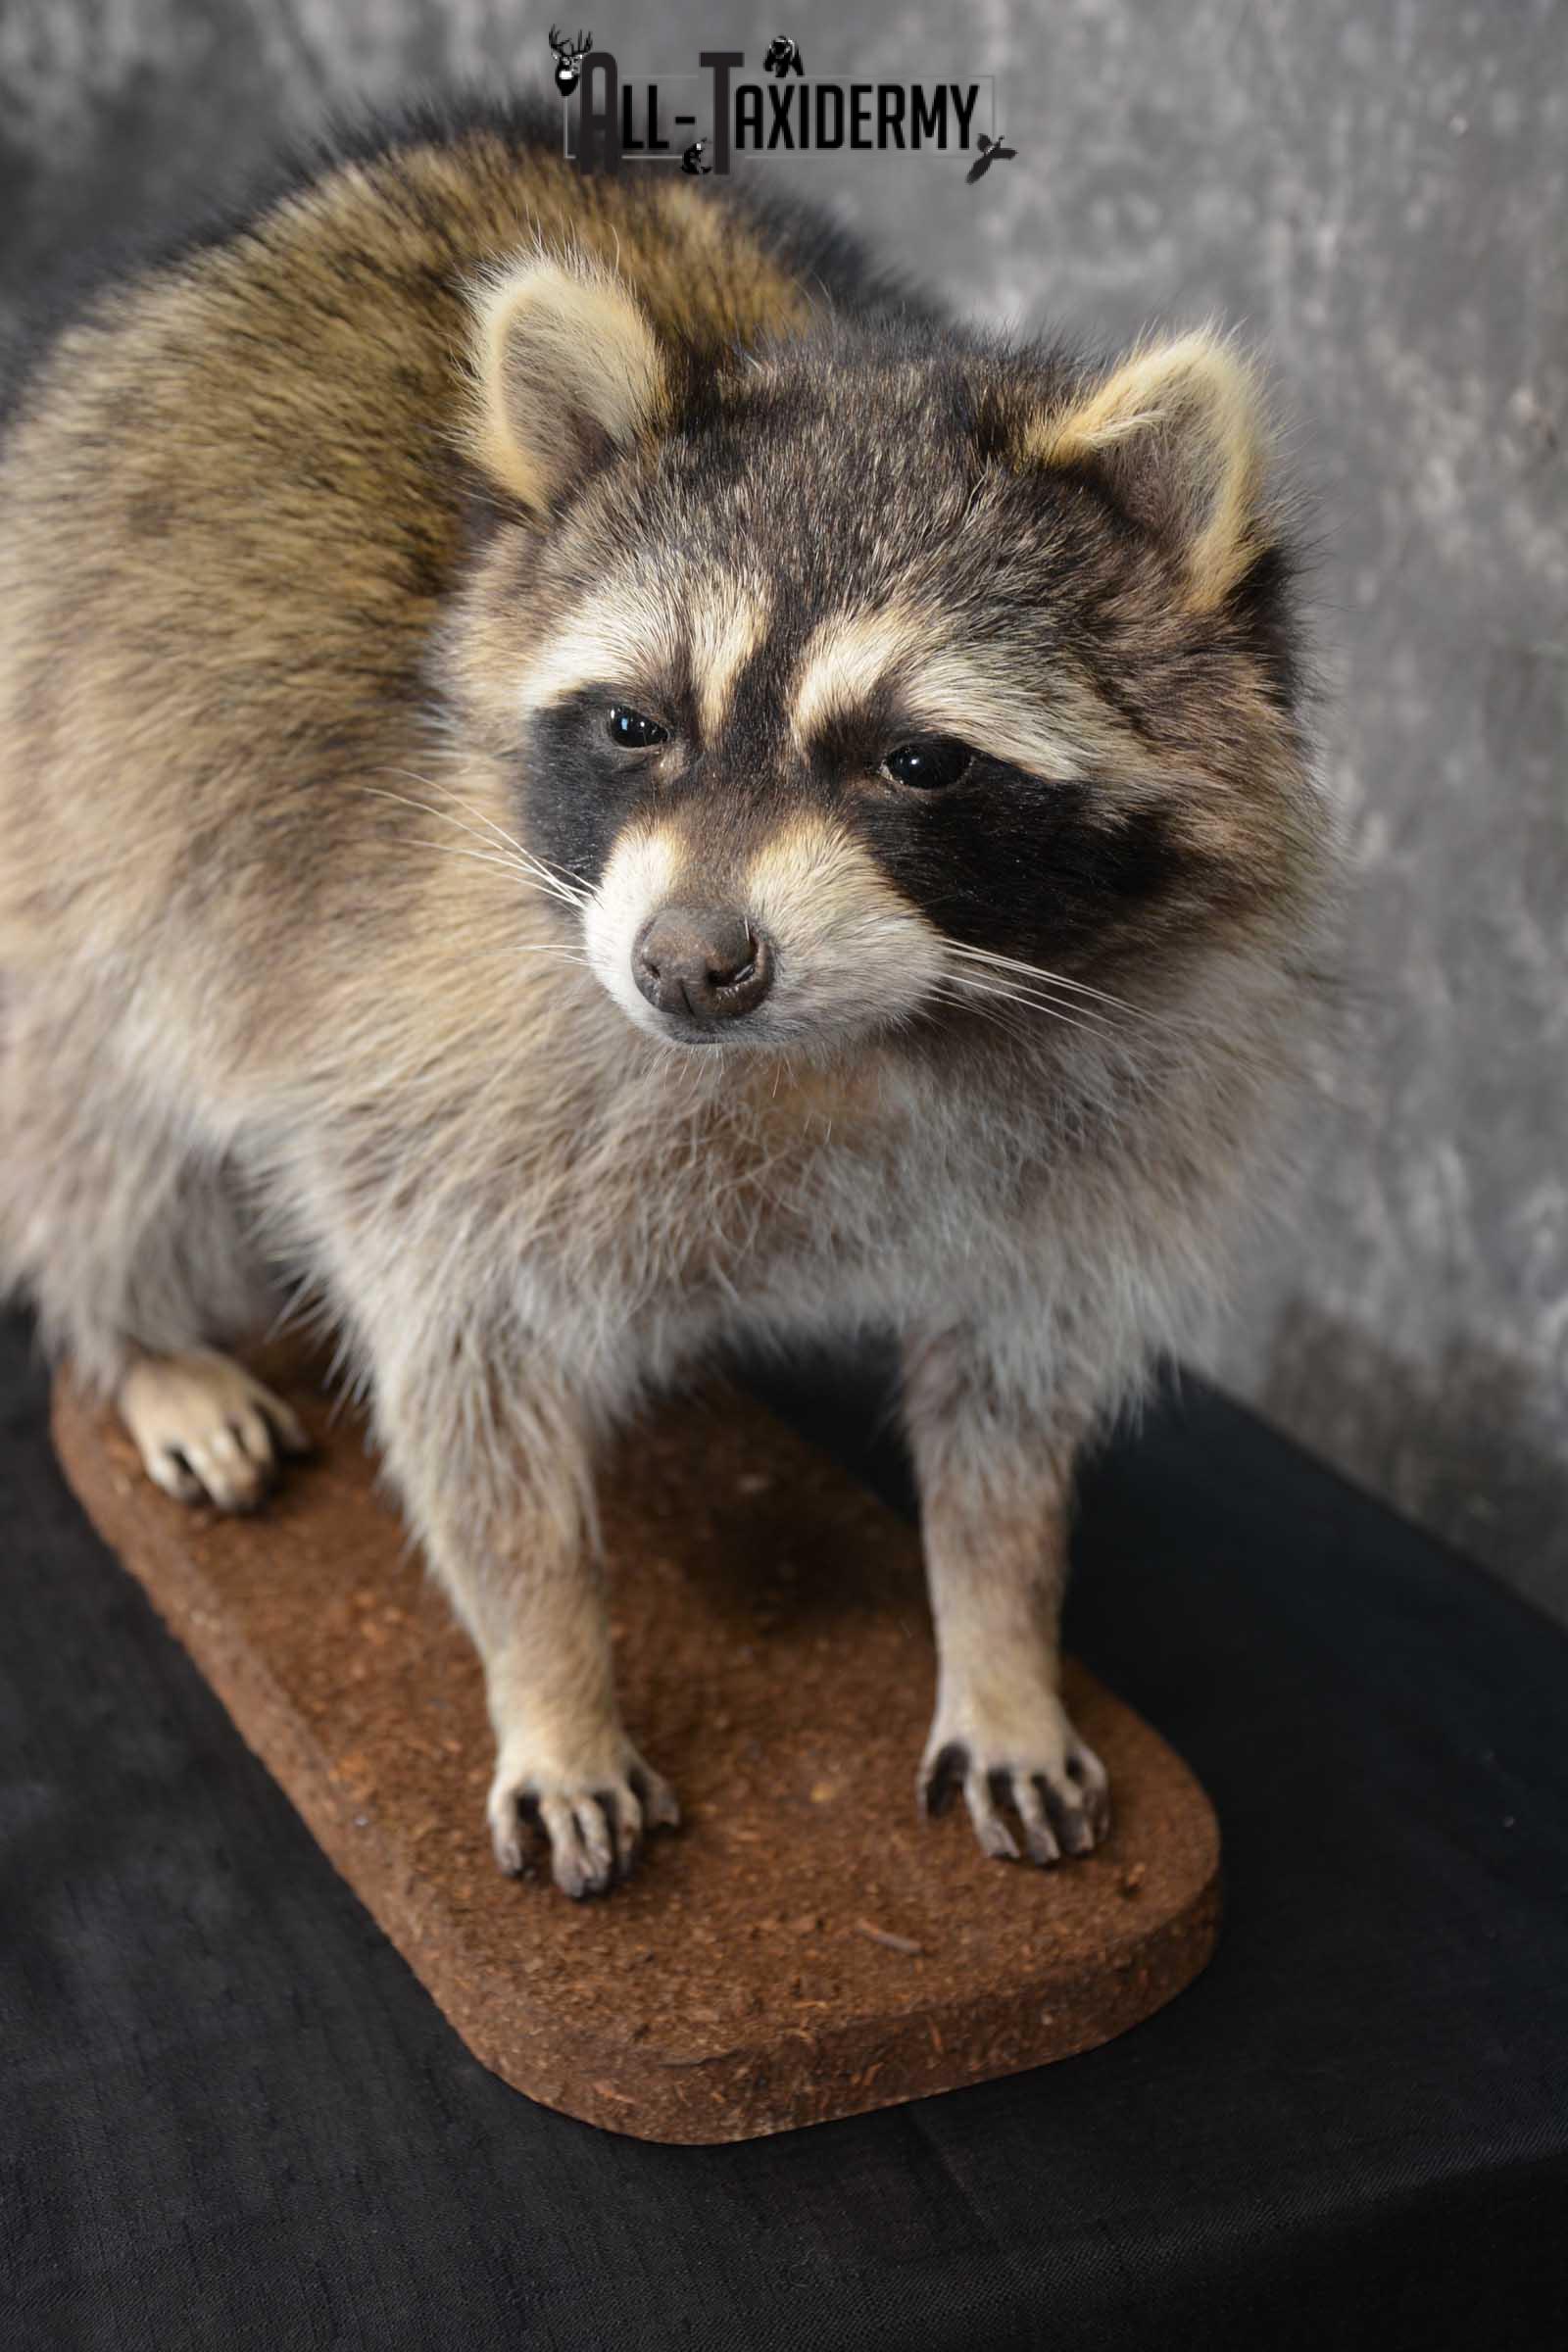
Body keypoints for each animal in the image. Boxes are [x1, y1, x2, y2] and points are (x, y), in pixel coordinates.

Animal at [0, 95, 1334, 1898]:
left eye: (919, 762)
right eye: (637, 724)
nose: (688, 962)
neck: (859, 1038)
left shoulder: (1107, 1119)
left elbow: (1011, 1411)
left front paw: (1003, 1639)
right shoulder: (419, 1057)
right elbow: (467, 1396)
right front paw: (552, 1677)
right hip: (76, 817)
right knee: (101, 1124)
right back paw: (137, 1336)